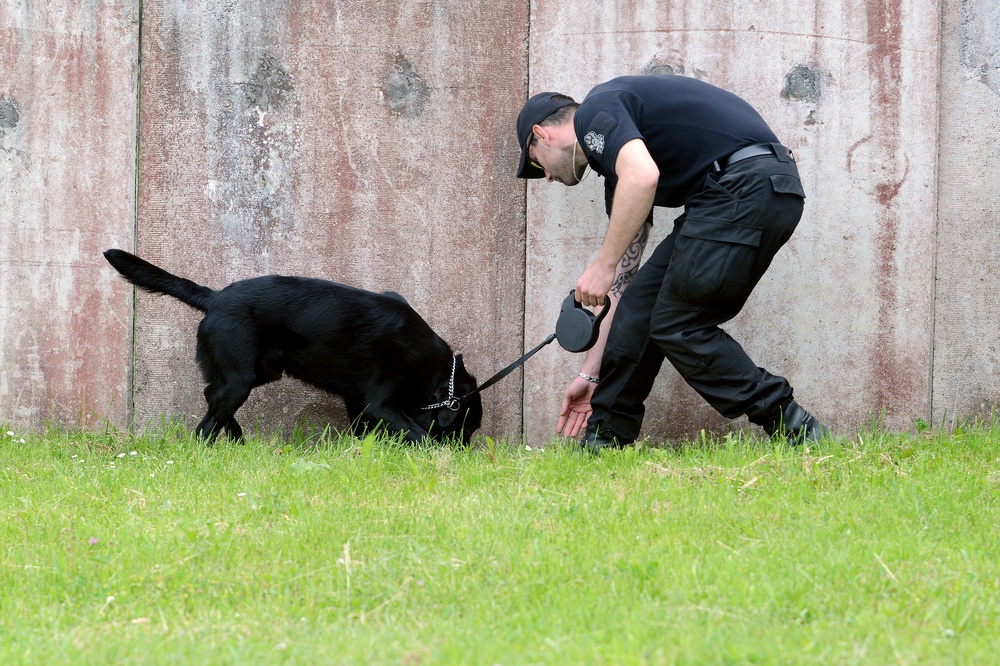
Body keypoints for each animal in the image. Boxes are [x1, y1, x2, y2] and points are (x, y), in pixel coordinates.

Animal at [103, 249, 482, 440]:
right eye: (465, 429)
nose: (463, 455)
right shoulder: (379, 403)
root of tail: (214, 298)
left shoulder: (357, 399)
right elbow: (419, 434)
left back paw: (236, 439)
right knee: (205, 424)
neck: (432, 367)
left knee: (211, 396)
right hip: (240, 379)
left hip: (258, 373)